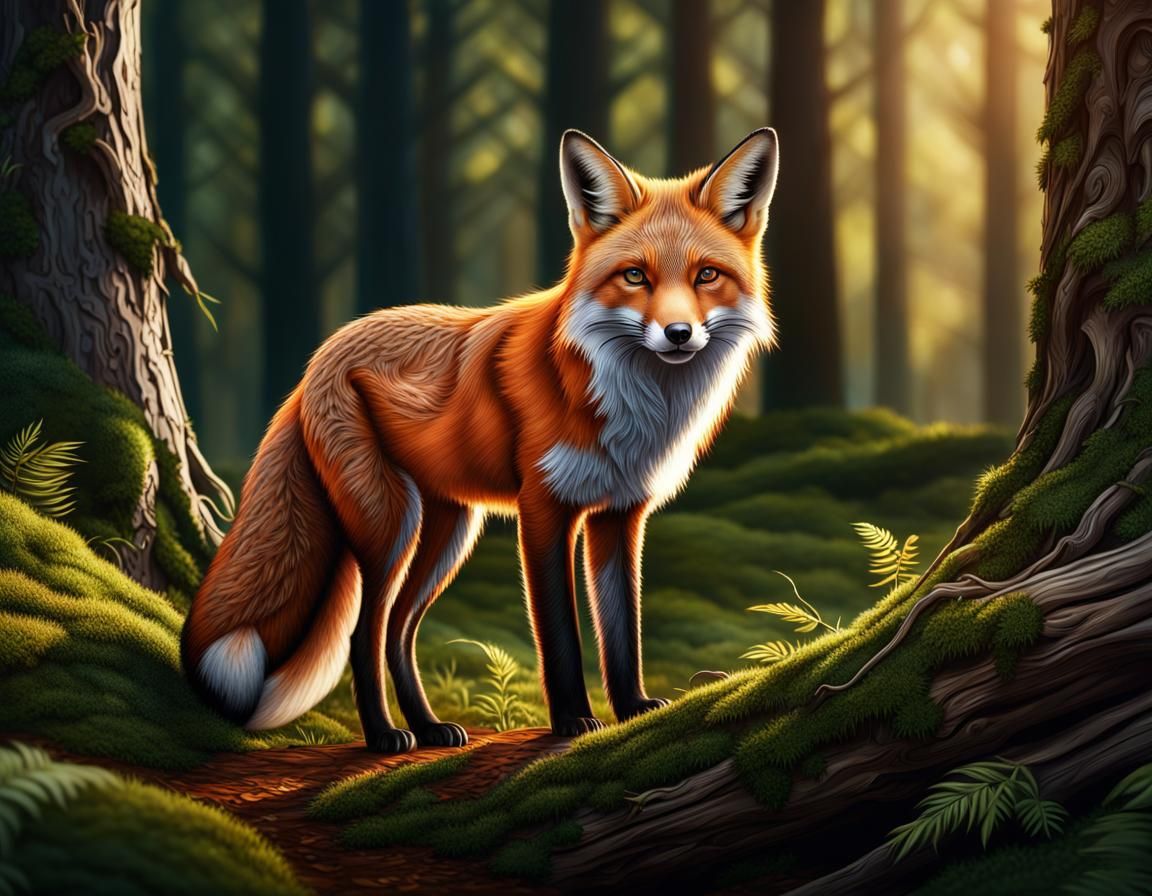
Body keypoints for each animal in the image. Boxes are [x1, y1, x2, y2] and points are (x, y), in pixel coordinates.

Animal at [182, 127, 780, 752]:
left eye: (706, 275)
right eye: (635, 276)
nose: (679, 333)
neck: (633, 405)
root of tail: (316, 361)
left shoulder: (620, 515)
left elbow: (623, 629)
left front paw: (634, 708)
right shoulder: (543, 509)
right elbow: (560, 633)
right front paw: (572, 720)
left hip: (451, 530)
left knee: (399, 632)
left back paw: (429, 727)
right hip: (391, 524)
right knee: (364, 633)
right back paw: (385, 734)